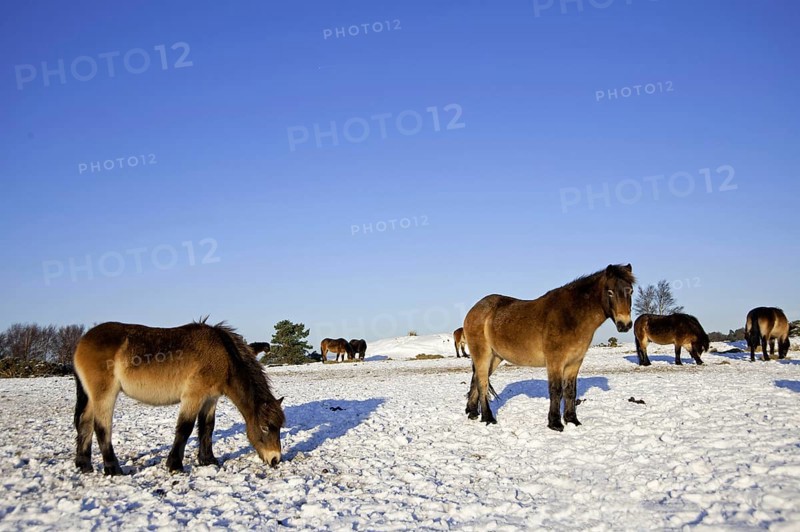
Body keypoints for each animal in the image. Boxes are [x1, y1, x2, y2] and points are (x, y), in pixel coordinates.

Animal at [72, 319, 285, 475]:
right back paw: (113, 468)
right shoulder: (193, 396)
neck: (222, 355)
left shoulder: (210, 398)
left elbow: (207, 427)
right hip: (105, 395)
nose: (275, 459)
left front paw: (208, 460)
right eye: (265, 427)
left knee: (85, 423)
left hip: (92, 397)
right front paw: (175, 465)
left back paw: (84, 465)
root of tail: (81, 342)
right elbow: (185, 428)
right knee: (102, 427)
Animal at [463, 264, 635, 430]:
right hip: (483, 355)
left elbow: (570, 391)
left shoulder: (574, 363)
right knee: (482, 384)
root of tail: (474, 310)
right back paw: (488, 418)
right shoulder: (555, 362)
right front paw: (555, 423)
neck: (571, 317)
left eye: (630, 291)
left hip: (495, 357)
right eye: (610, 292)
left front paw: (572, 420)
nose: (625, 324)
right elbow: (556, 390)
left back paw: (473, 413)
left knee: (476, 381)